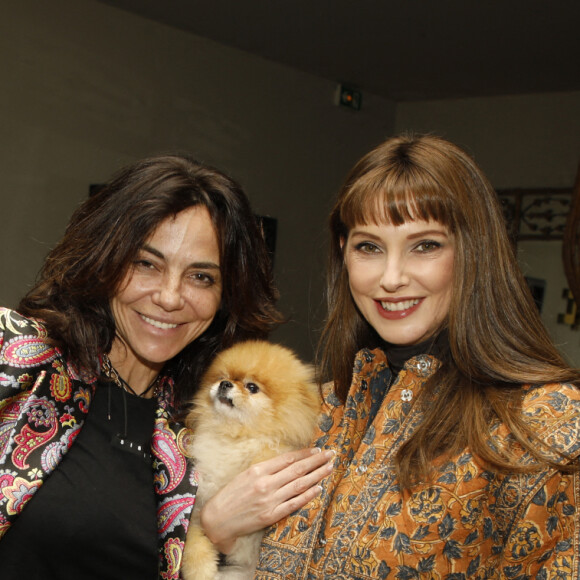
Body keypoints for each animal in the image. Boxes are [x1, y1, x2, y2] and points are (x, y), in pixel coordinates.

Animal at [180, 340, 320, 580]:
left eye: (252, 387)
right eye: (222, 377)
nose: (225, 384)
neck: (234, 436)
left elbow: (268, 452)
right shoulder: (201, 506)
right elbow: (193, 541)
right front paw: (201, 570)